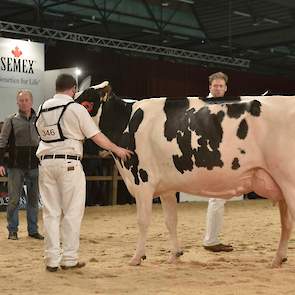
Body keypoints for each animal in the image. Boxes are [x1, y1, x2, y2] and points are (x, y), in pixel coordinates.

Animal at [75, 82, 295, 268]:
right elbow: (171, 220)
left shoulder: (143, 181)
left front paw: (137, 257)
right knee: (286, 224)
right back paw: (277, 259)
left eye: (86, 102)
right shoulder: (166, 188)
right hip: (282, 186)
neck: (127, 121)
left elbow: (143, 221)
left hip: (289, 182)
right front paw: (175, 254)